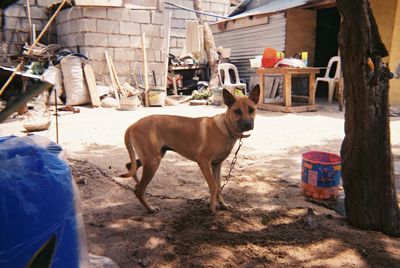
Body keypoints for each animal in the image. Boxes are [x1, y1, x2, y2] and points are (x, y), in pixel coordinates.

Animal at [120, 88, 260, 214]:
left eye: (251, 110)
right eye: (237, 111)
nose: (248, 124)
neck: (226, 127)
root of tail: (133, 125)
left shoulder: (216, 164)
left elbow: (219, 186)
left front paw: (223, 204)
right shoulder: (203, 161)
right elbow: (213, 185)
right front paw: (212, 208)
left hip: (154, 157)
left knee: (130, 166)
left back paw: (138, 185)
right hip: (153, 161)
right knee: (139, 190)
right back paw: (150, 208)